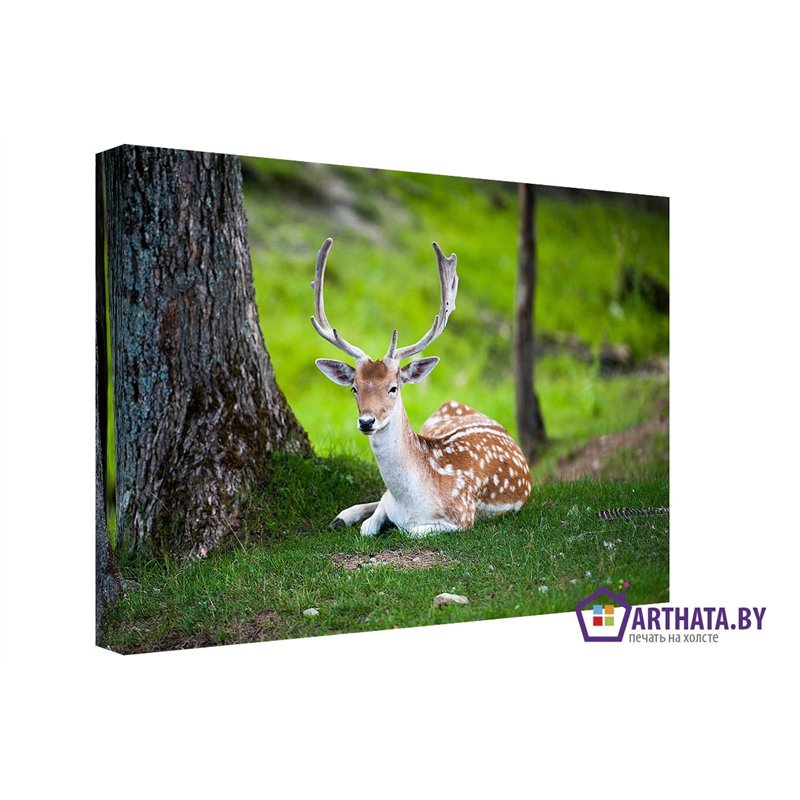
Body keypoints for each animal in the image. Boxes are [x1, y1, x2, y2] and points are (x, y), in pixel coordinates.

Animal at [312, 238, 532, 537]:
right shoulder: (389, 501)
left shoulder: (463, 516)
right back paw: (342, 516)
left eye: (393, 388)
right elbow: (370, 524)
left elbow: (410, 530)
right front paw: (354, 518)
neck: (411, 501)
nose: (366, 421)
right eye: (354, 388)